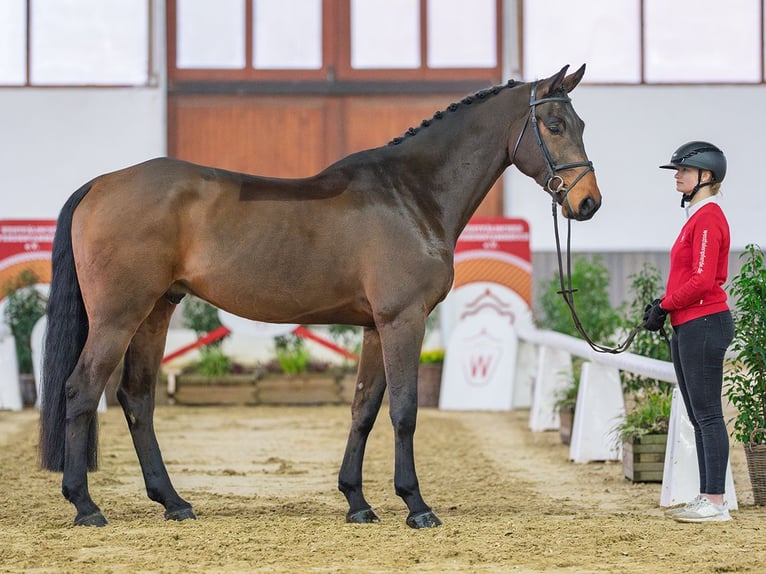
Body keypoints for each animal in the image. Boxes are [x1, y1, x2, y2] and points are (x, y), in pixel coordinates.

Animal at [39, 64, 601, 528]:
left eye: (581, 123)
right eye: (554, 125)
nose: (588, 202)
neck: (411, 196)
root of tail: (100, 185)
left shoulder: (376, 327)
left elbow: (364, 408)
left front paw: (357, 501)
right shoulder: (403, 320)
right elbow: (404, 410)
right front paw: (416, 505)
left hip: (155, 311)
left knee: (136, 397)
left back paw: (173, 502)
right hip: (118, 316)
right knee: (81, 390)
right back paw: (85, 506)